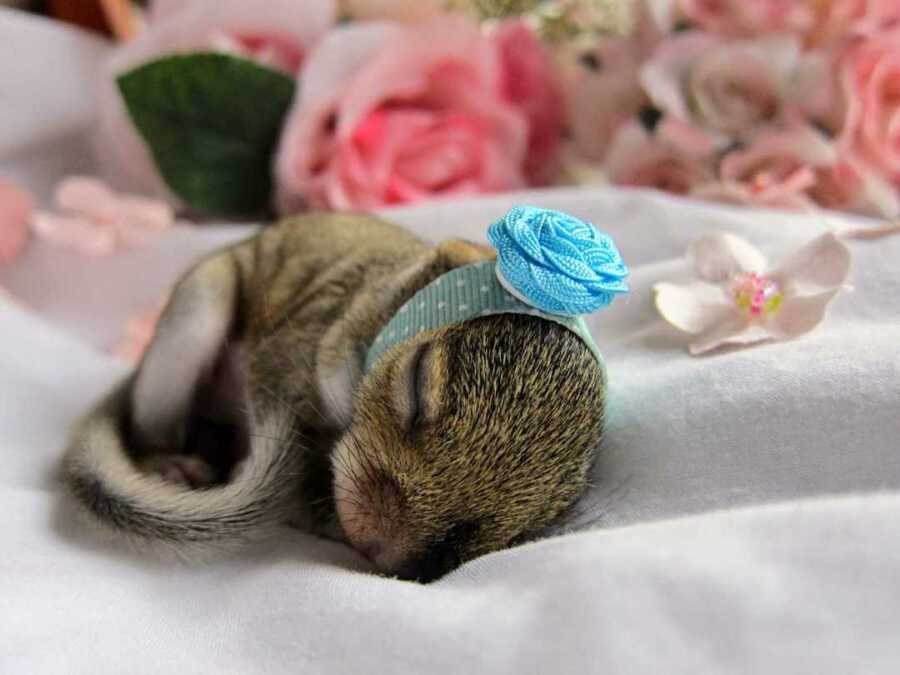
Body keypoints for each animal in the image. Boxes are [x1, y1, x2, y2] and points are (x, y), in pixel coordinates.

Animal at [63, 211, 608, 580]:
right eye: (415, 383)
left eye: (545, 512)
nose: (391, 555)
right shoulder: (292, 350)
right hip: (194, 317)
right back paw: (171, 465)